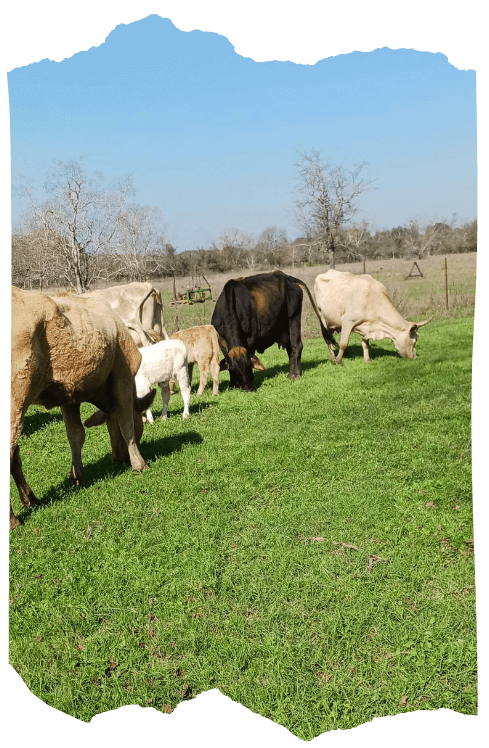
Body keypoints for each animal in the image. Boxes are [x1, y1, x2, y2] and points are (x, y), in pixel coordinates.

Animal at [10, 286, 156, 530]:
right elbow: (126, 425)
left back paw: (30, 499)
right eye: (140, 424)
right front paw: (139, 463)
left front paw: (76, 475)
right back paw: (13, 519)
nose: (119, 458)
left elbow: (76, 435)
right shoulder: (123, 376)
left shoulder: (68, 396)